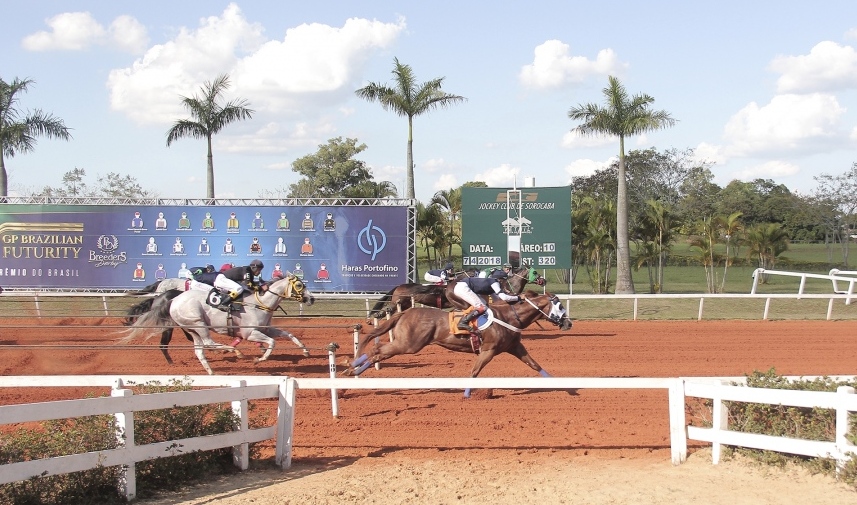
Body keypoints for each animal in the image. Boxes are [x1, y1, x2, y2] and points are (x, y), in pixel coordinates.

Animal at [120, 273, 315, 375]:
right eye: (299, 285)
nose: (311, 298)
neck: (260, 303)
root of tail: (173, 300)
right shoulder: (250, 333)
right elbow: (272, 343)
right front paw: (260, 359)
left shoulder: (266, 329)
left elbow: (288, 334)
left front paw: (305, 351)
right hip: (198, 323)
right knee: (208, 343)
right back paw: (233, 351)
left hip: (192, 328)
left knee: (200, 350)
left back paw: (212, 372)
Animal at [344, 290, 572, 397]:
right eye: (560, 306)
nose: (569, 323)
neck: (509, 317)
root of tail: (406, 312)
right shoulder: (488, 350)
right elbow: (474, 371)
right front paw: (467, 393)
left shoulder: (514, 347)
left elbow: (535, 365)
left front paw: (564, 386)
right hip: (409, 344)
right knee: (377, 349)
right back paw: (350, 370)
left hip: (406, 343)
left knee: (378, 351)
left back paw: (351, 371)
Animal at [366, 265, 543, 322]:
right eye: (535, 272)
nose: (544, 280)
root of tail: (398, 286)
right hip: (399, 302)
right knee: (385, 311)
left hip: (403, 304)